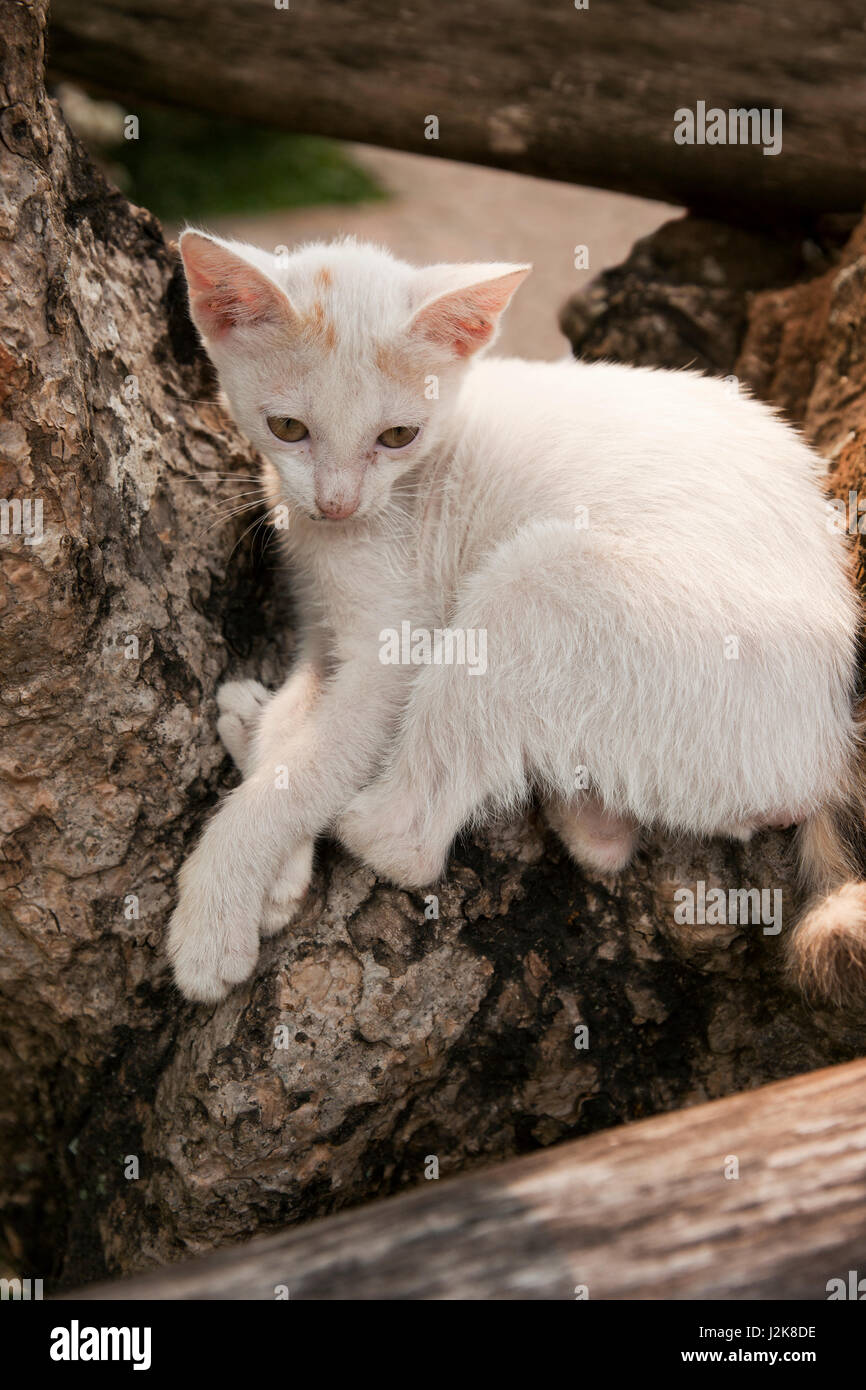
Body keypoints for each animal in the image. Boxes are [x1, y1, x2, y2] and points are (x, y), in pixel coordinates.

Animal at [169, 230, 866, 1011]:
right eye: (287, 428)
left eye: (398, 435)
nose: (338, 503)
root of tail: (827, 755)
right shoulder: (321, 627)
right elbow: (301, 717)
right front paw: (276, 855)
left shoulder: (394, 645)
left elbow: (315, 767)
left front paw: (216, 912)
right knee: (606, 838)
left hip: (540, 577)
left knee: (403, 843)